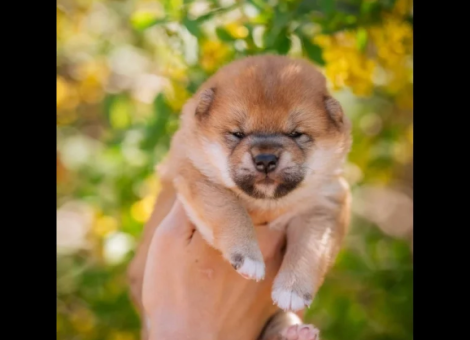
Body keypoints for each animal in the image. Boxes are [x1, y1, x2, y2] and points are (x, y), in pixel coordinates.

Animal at [126, 54, 350, 338]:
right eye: (238, 134)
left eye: (296, 134)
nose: (265, 159)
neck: (267, 204)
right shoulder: (198, 178)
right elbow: (231, 210)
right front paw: (249, 259)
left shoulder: (325, 204)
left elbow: (310, 248)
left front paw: (293, 291)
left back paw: (296, 333)